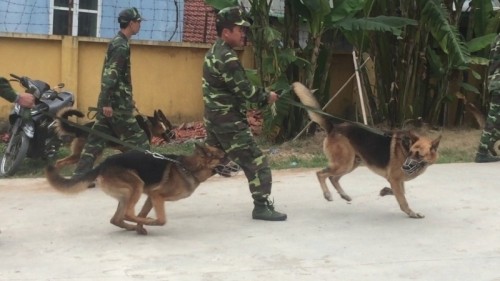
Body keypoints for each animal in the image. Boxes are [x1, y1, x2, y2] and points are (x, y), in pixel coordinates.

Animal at [45, 142, 225, 234]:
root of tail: (103, 164)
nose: (233, 162)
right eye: (224, 157)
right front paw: (151, 222)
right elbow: (161, 219)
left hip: (127, 194)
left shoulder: (151, 197)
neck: (188, 167)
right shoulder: (157, 195)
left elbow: (143, 212)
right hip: (136, 185)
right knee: (128, 213)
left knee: (117, 218)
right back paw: (147, 221)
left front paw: (140, 228)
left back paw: (133, 226)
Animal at [292, 82, 442, 218]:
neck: (405, 146)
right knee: (321, 174)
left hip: (352, 164)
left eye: (419, 155)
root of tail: (333, 128)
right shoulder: (394, 179)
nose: (405, 167)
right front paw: (412, 213)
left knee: (333, 178)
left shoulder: (397, 181)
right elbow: (403, 199)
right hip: (344, 164)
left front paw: (385, 191)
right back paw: (327, 194)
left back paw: (344, 195)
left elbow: (400, 193)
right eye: (410, 153)